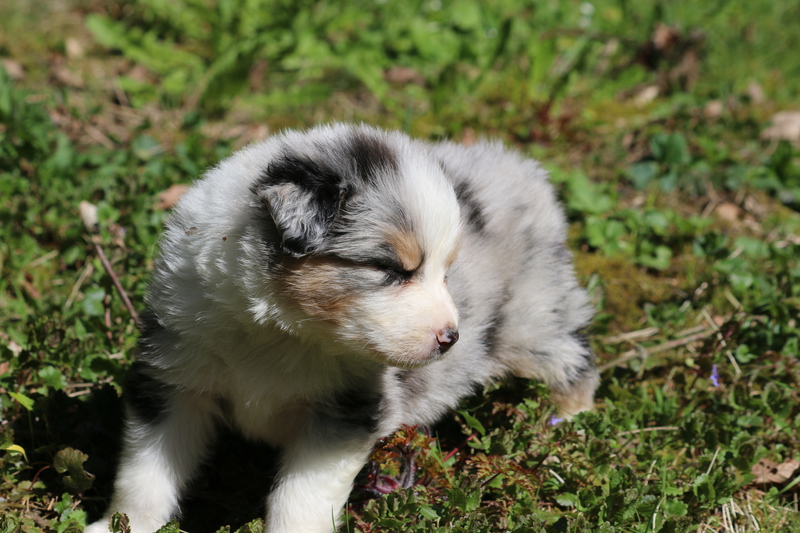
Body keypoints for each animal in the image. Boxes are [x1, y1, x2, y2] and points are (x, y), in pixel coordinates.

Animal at [85, 123, 598, 533]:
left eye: (445, 272)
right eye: (391, 270)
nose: (452, 339)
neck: (283, 332)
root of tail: (523, 169)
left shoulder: (343, 414)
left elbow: (301, 496)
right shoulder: (174, 378)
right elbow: (145, 474)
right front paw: (119, 526)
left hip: (532, 321)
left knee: (575, 360)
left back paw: (569, 428)